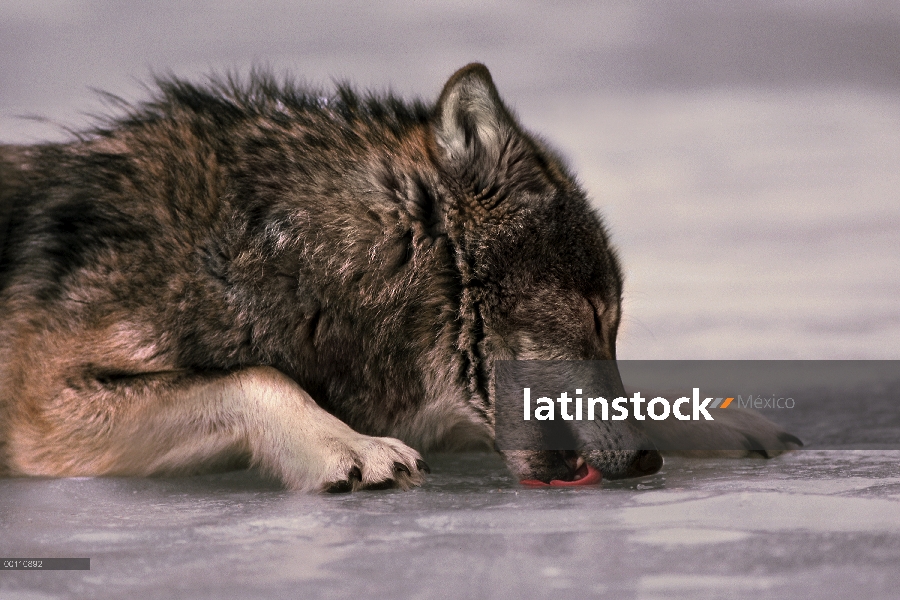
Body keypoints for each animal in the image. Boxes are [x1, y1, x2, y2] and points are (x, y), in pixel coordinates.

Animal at [0, 63, 800, 490]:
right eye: (594, 317)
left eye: (612, 327)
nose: (644, 460)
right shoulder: (48, 414)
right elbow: (257, 376)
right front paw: (347, 445)